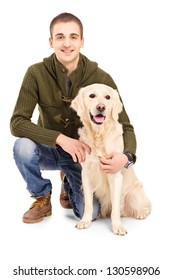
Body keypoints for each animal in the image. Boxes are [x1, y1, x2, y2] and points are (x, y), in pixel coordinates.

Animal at [70, 82, 151, 234]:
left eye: (107, 97)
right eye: (92, 95)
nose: (101, 107)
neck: (99, 136)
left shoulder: (115, 174)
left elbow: (115, 208)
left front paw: (117, 227)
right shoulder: (86, 174)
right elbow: (88, 204)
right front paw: (85, 221)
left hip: (134, 194)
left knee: (146, 207)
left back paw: (140, 214)